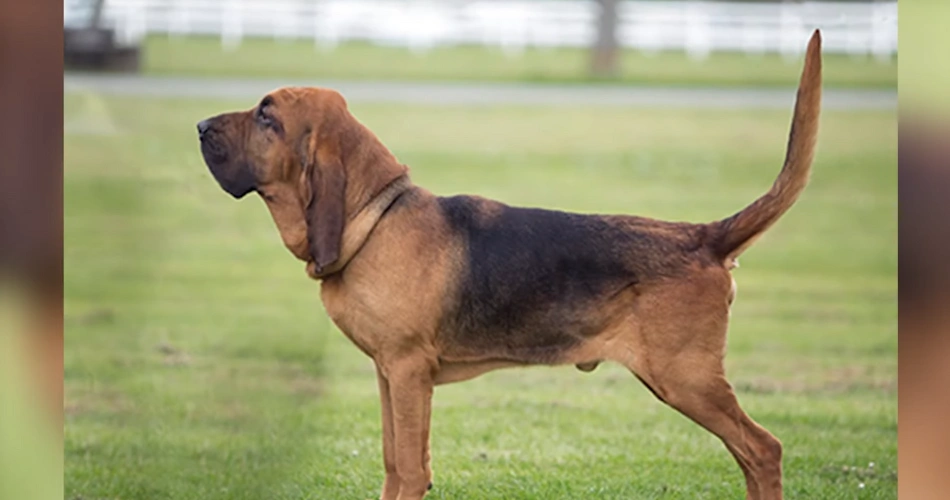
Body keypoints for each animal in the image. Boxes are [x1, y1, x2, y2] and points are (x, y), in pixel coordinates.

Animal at [195, 30, 824, 500]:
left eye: (268, 117)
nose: (199, 127)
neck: (374, 219)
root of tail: (704, 238)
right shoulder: (387, 374)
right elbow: (395, 464)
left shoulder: (408, 371)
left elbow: (412, 470)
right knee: (750, 454)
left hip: (686, 379)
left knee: (764, 449)